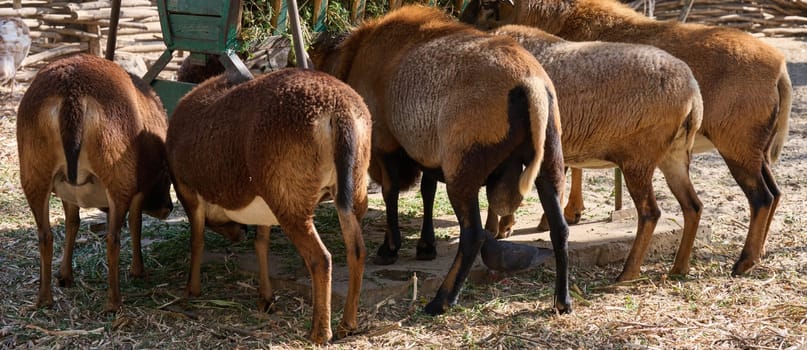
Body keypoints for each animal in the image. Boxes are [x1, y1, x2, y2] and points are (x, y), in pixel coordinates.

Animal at [17, 53, 174, 310]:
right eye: (167, 178)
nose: (168, 208)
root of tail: (71, 95)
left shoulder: (67, 193)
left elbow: (72, 223)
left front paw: (65, 275)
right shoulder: (138, 189)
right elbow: (136, 223)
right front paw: (138, 270)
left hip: (34, 174)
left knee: (45, 236)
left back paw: (44, 298)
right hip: (118, 177)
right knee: (113, 239)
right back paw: (114, 301)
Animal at [168, 67, 376, 344]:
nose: (238, 233)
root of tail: (338, 109)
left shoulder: (189, 192)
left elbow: (197, 240)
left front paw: (192, 290)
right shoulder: (265, 209)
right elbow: (261, 245)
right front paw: (265, 298)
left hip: (291, 202)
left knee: (320, 258)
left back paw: (319, 332)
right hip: (352, 190)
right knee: (357, 250)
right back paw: (347, 324)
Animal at [306, 4, 572, 318]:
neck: (357, 55)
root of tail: (530, 84)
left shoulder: (386, 142)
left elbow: (391, 192)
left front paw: (390, 248)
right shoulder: (428, 153)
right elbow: (428, 191)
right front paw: (425, 246)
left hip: (464, 166)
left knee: (473, 235)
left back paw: (441, 301)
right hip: (549, 161)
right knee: (559, 228)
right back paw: (562, 301)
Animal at [460, 0, 796, 278]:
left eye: (485, 5)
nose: (462, 22)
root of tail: (780, 67)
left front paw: (515, 225)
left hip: (730, 148)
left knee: (758, 198)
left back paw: (738, 262)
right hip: (745, 150)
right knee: (767, 194)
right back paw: (730, 260)